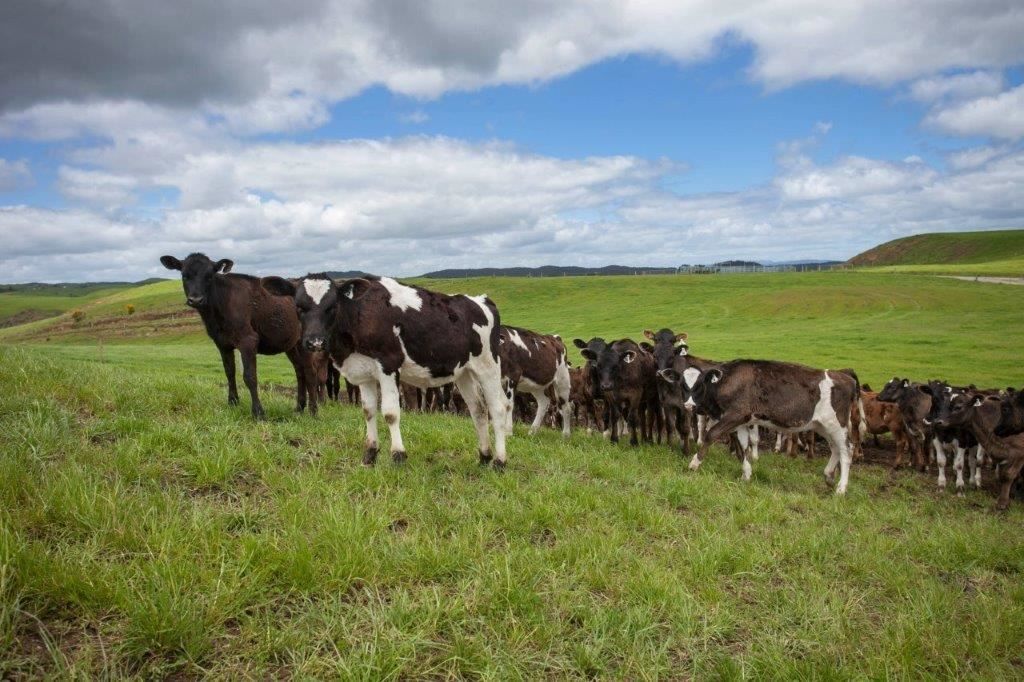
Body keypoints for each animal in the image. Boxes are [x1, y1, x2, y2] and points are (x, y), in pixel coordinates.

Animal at [159, 251, 315, 417]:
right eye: (184, 275)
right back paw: (299, 408)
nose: (195, 300)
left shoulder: (248, 340)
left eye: (209, 276)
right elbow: (229, 372)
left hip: (304, 342)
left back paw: (312, 411)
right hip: (291, 344)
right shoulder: (222, 343)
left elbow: (250, 376)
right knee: (299, 370)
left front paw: (258, 412)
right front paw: (233, 403)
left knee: (309, 371)